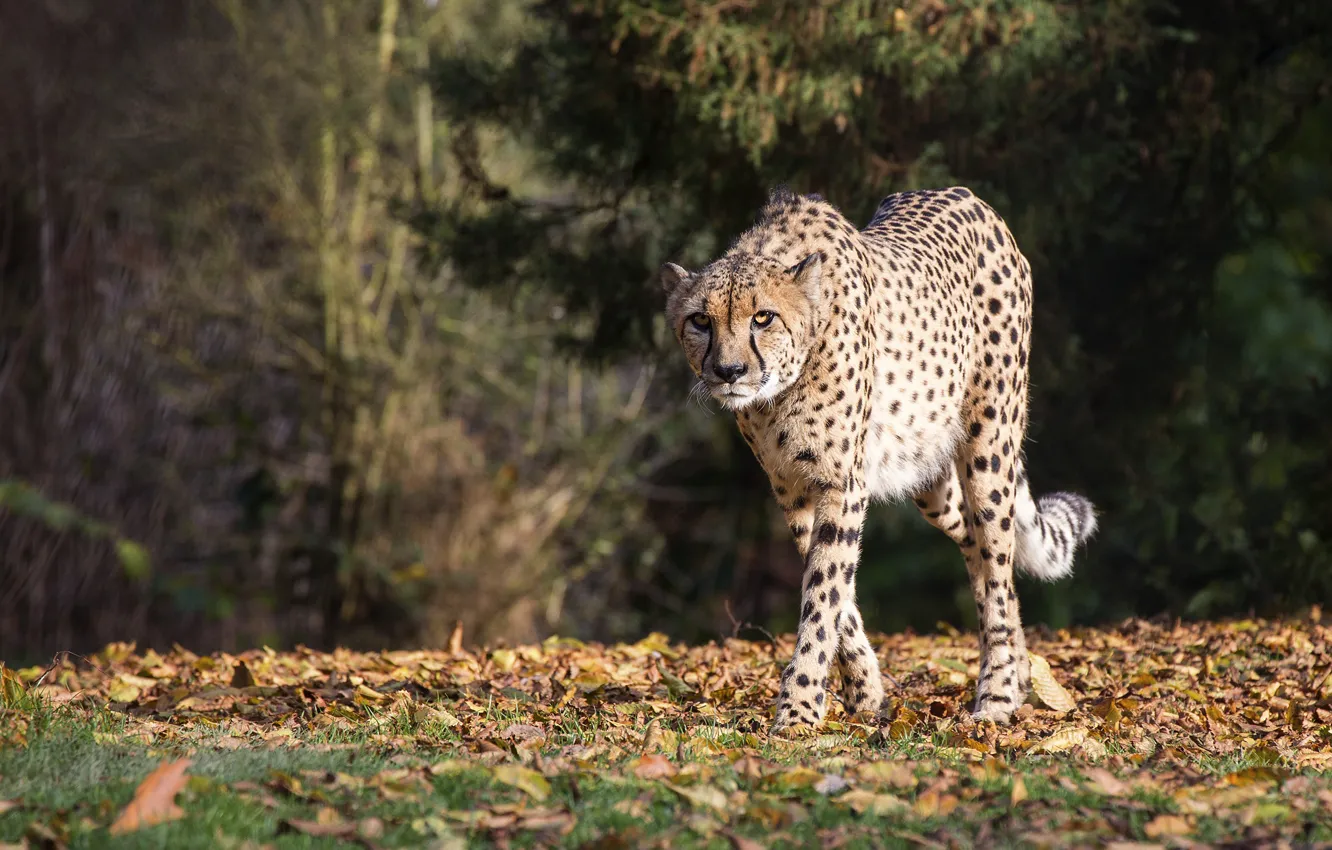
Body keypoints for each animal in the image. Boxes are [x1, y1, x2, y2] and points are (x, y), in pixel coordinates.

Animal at [661, 185, 1097, 732]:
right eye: (700, 320)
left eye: (763, 317)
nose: (728, 370)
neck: (780, 389)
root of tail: (968, 197)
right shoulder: (794, 491)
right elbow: (836, 595)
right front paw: (864, 693)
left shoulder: (841, 483)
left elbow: (823, 593)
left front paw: (799, 708)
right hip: (931, 480)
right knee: (977, 546)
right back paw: (1017, 673)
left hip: (989, 447)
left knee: (997, 562)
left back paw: (997, 694)